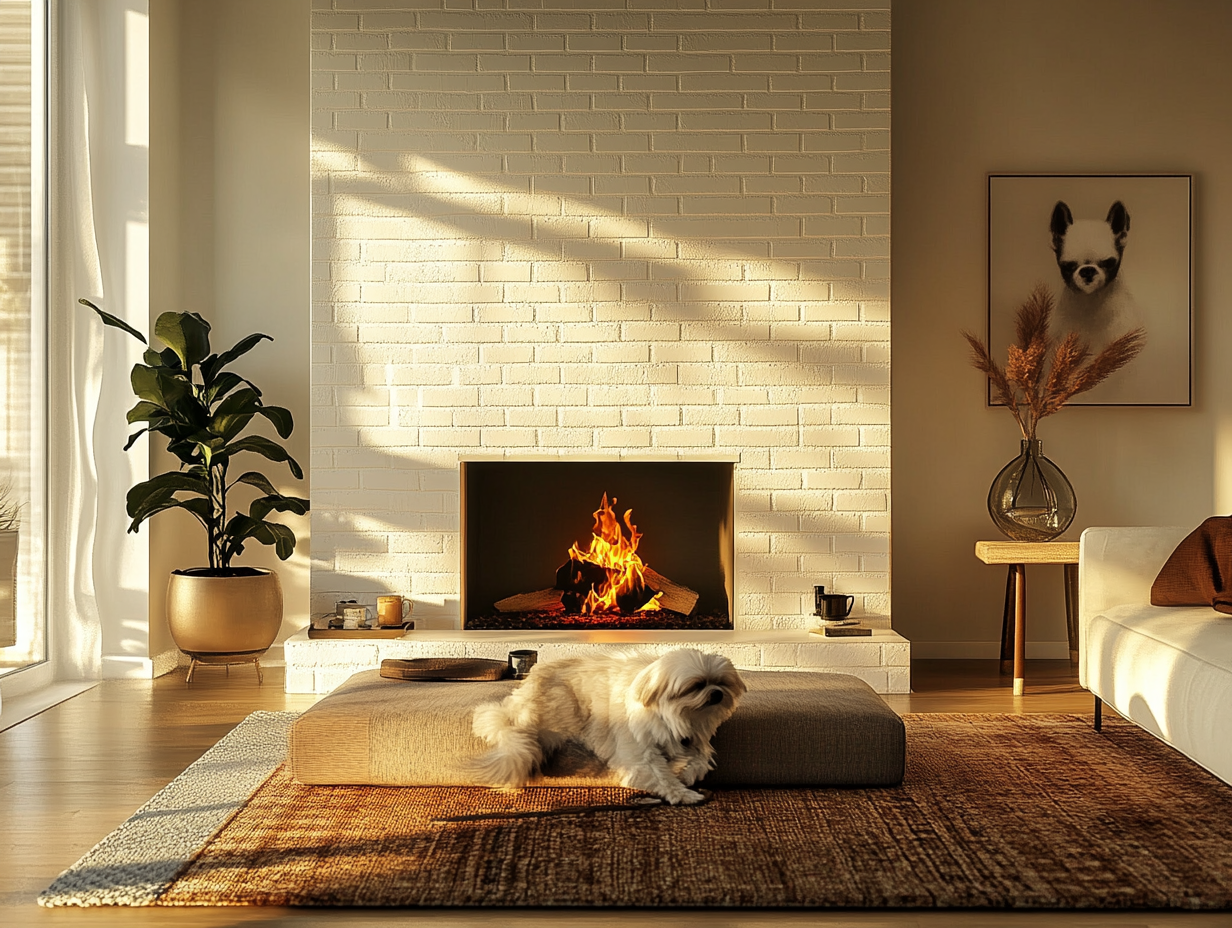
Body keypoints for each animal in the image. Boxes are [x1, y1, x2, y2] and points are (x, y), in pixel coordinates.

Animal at [468, 645, 739, 803]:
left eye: (721, 683)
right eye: (696, 685)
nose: (717, 694)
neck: (676, 717)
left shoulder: (694, 741)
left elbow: (700, 760)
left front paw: (685, 772)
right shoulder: (640, 757)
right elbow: (662, 778)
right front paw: (684, 794)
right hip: (564, 711)